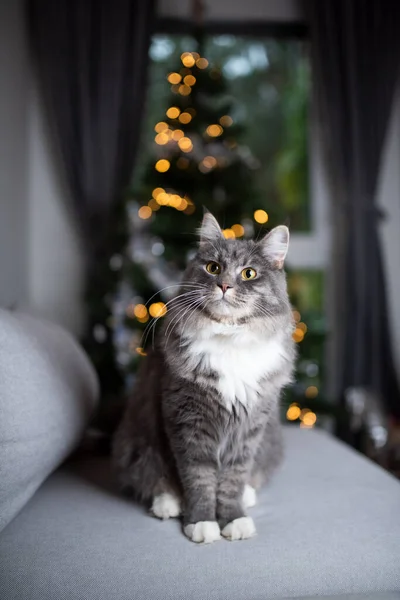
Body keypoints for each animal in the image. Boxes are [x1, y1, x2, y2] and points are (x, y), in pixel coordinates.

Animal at [111, 212, 296, 544]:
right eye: (213, 268)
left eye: (249, 273)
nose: (224, 285)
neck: (229, 338)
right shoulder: (188, 422)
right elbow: (198, 478)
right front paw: (202, 522)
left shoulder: (249, 429)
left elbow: (233, 478)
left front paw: (234, 518)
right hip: (137, 443)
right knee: (151, 478)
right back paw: (168, 503)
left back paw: (247, 496)